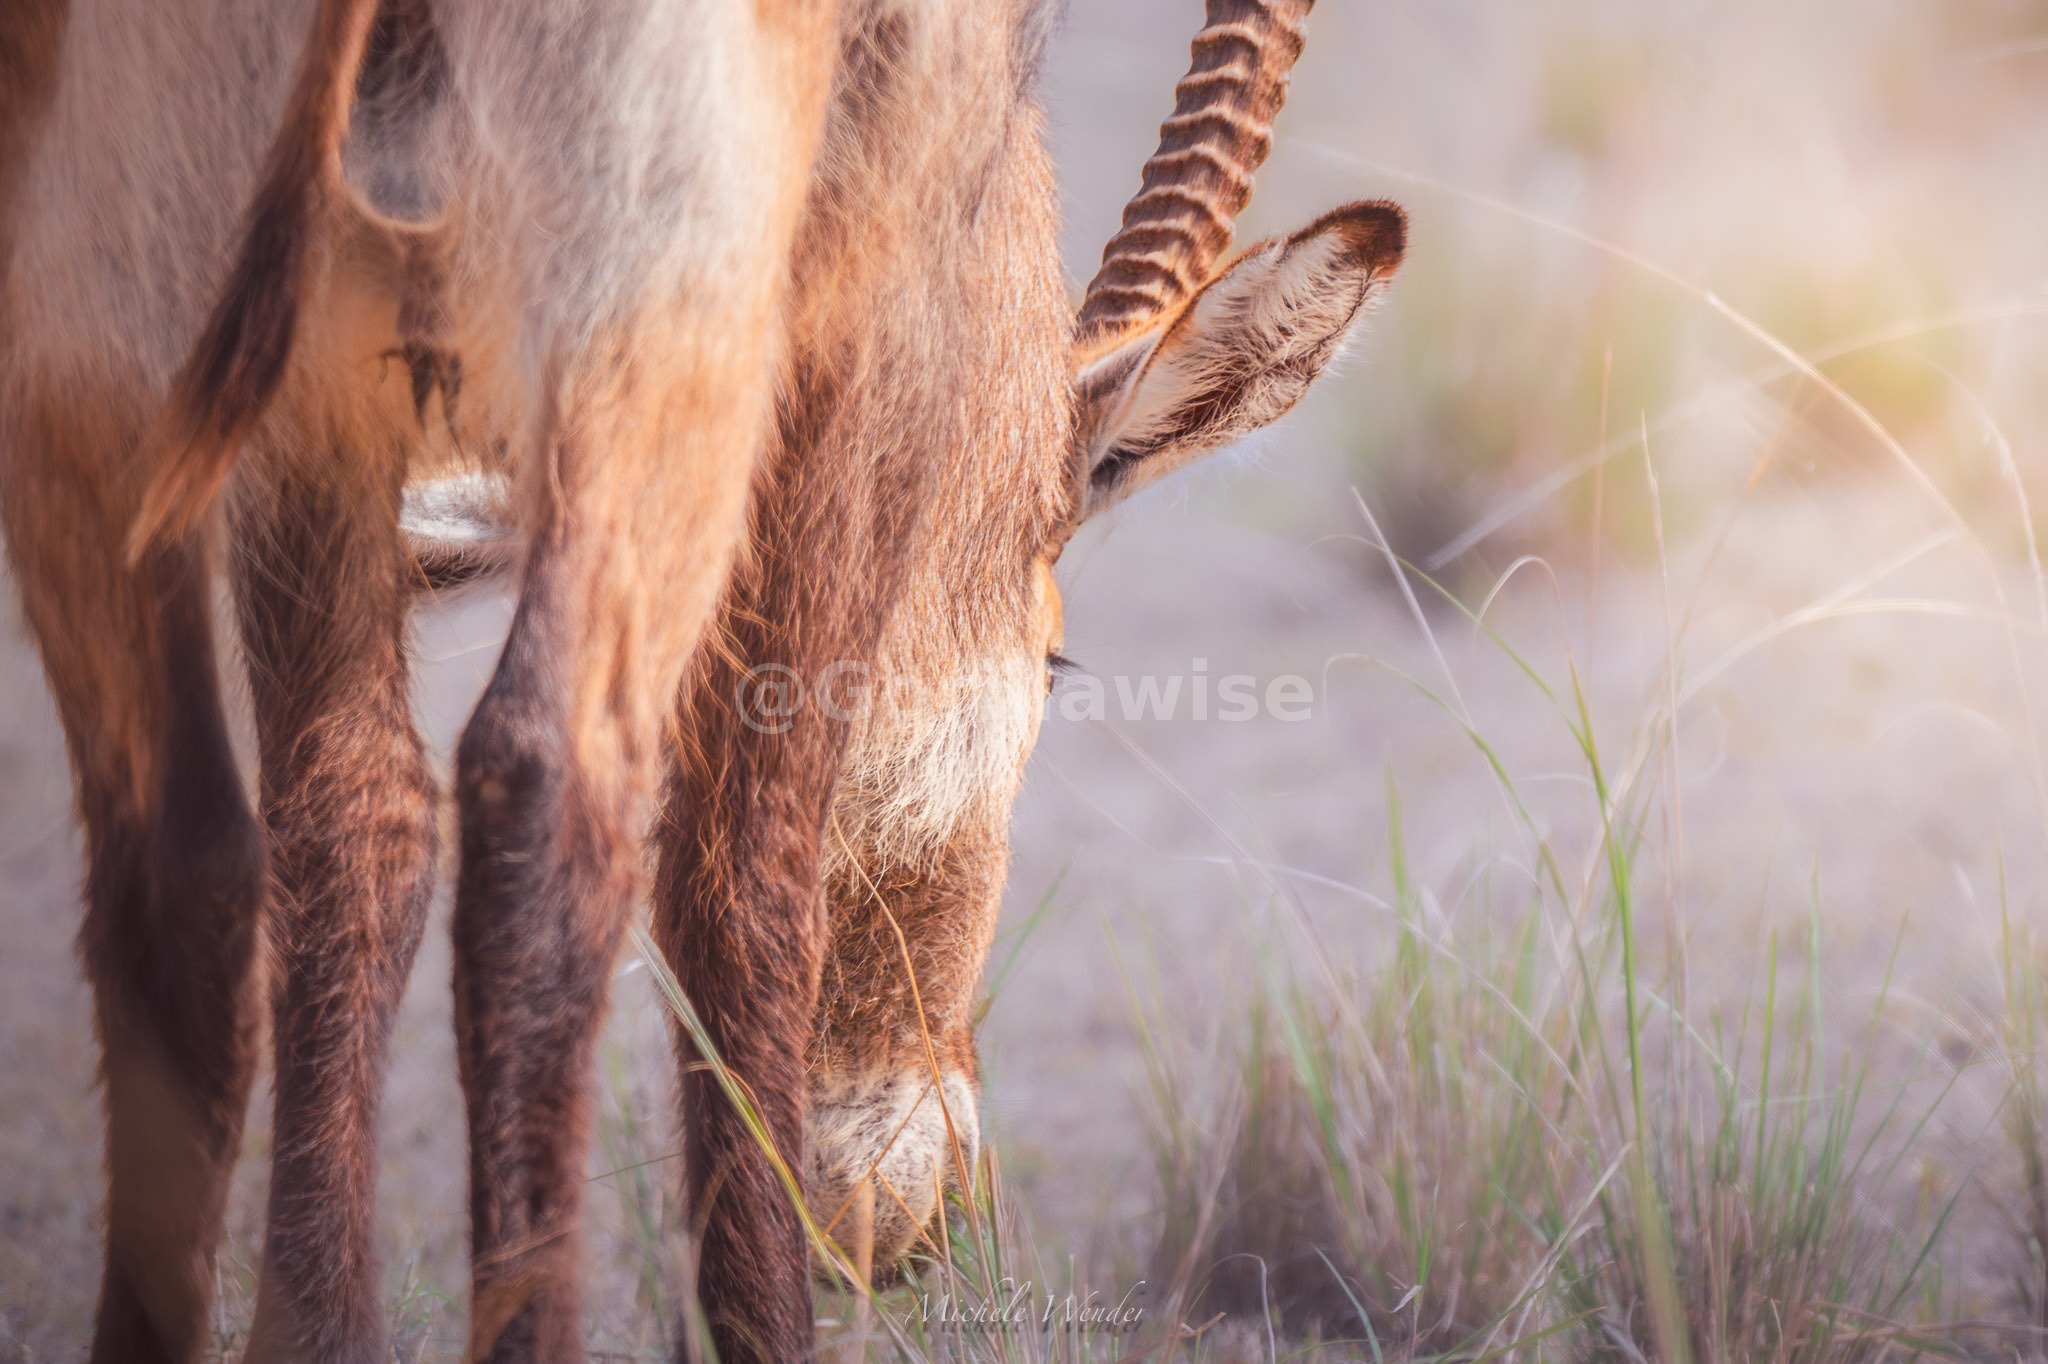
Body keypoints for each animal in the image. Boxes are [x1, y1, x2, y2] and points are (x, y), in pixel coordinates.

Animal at [0, 0, 1405, 1360]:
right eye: (1054, 663)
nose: (911, 1210)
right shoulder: (855, 324)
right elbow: (747, 872)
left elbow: (337, 822)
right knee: (551, 800)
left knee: (219, 846)